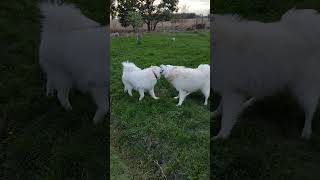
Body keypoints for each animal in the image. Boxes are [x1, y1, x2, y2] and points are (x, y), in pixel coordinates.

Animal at [212, 9, 320, 140]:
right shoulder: (227, 86)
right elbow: (221, 106)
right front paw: (214, 114)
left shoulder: (232, 90)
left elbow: (227, 117)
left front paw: (221, 136)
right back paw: (247, 104)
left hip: (305, 85)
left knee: (311, 108)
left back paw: (306, 131)